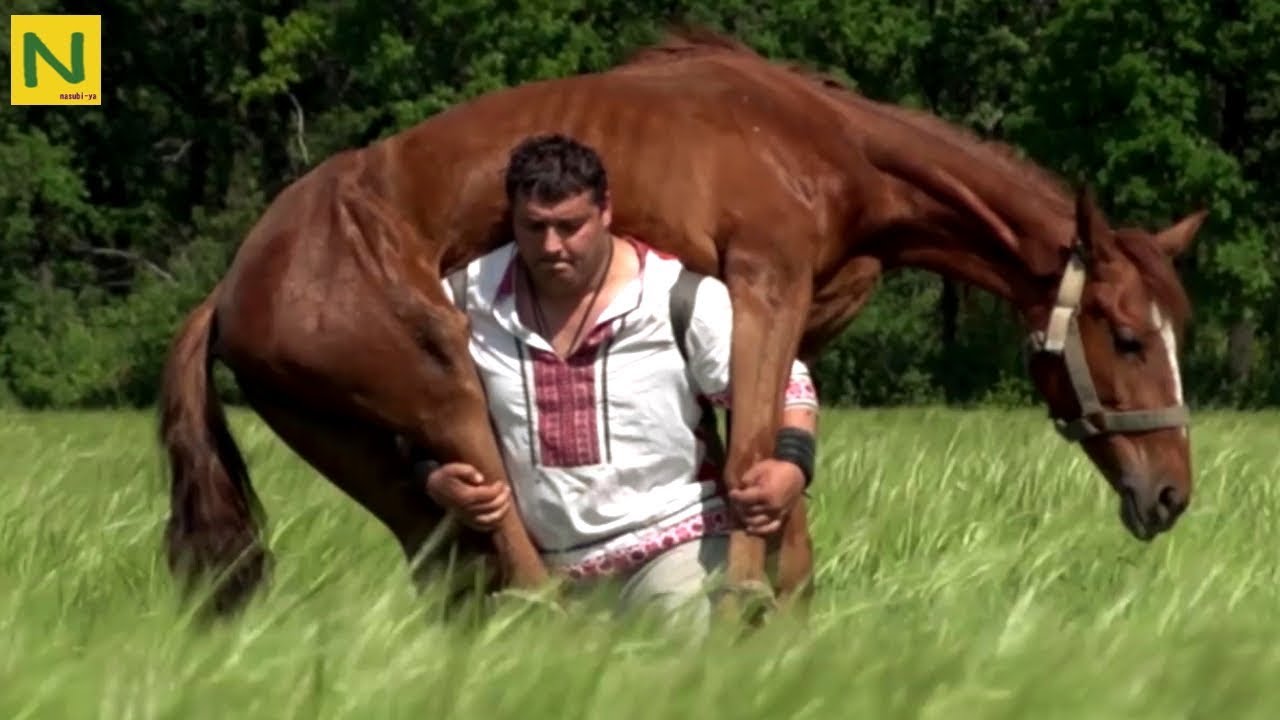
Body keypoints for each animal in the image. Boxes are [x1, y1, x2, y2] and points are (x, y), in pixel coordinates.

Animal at [157, 29, 1198, 617]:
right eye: (1128, 337)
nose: (1172, 496)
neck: (826, 143)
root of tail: (232, 286)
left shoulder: (784, 327)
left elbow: (780, 501)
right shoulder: (765, 286)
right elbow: (746, 492)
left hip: (362, 447)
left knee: (450, 566)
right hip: (444, 383)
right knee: (516, 565)